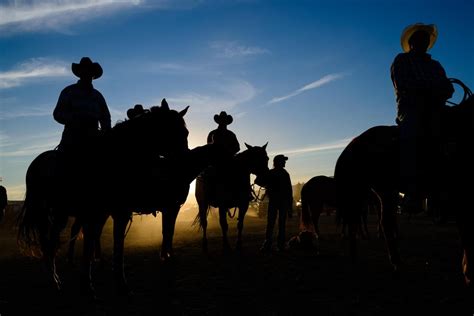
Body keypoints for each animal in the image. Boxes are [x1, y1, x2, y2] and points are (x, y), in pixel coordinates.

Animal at [16, 100, 218, 296]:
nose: (182, 162)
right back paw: (54, 280)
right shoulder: (117, 212)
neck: (114, 160)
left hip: (61, 213)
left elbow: (116, 244)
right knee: (48, 243)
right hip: (47, 212)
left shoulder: (116, 212)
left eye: (186, 132)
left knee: (54, 241)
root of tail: (36, 163)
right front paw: (100, 284)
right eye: (173, 130)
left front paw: (111, 283)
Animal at [336, 79, 472, 286]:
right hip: (369, 190)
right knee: (361, 222)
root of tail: (353, 144)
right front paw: (468, 271)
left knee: (382, 222)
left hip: (384, 191)